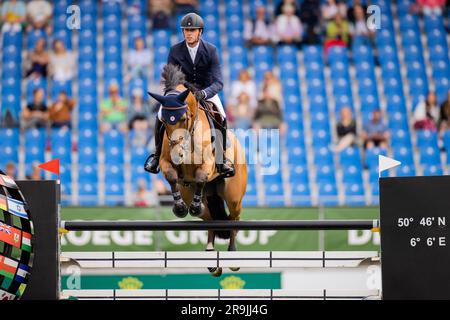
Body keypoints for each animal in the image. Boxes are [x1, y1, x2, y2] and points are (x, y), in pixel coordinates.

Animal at [147, 63, 246, 276]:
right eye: (163, 121)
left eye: (184, 118)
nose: (178, 153)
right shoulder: (166, 162)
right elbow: (171, 176)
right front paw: (180, 208)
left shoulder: (208, 164)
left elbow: (201, 175)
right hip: (195, 194)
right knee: (209, 219)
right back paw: (211, 257)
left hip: (233, 196)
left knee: (234, 219)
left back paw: (233, 256)